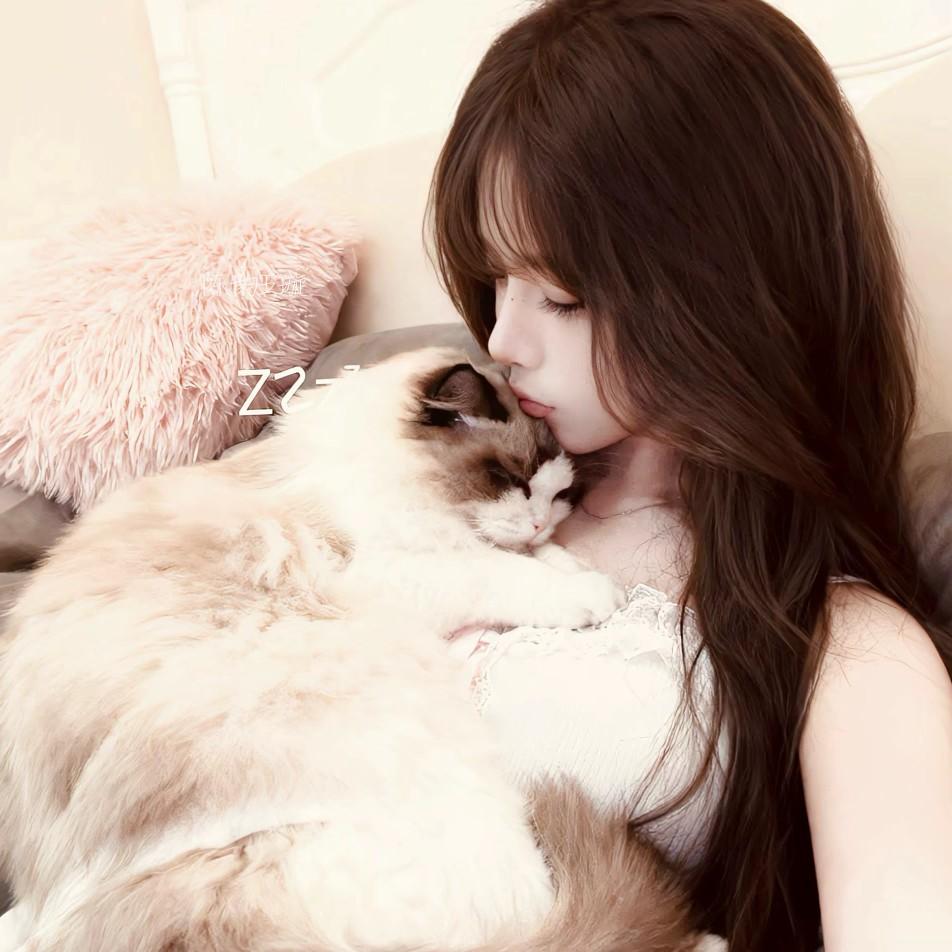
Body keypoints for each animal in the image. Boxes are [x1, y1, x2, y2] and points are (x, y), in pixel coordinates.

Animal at [0, 345, 724, 952]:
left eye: (560, 493)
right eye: (508, 477)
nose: (543, 519)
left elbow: (531, 561)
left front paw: (580, 572)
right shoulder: (394, 570)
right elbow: (502, 571)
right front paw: (591, 593)